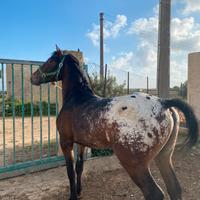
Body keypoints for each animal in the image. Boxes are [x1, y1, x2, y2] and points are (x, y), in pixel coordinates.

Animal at [30, 46, 198, 199]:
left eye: (50, 61)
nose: (33, 77)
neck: (77, 98)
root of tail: (163, 103)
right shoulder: (82, 143)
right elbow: (79, 167)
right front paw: (78, 191)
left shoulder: (66, 142)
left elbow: (70, 172)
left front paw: (73, 196)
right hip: (164, 157)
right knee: (174, 188)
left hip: (135, 165)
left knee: (155, 193)